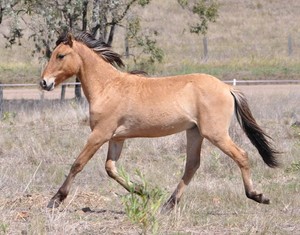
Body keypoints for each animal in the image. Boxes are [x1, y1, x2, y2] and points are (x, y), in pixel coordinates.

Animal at [39, 31, 278, 209]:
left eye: (60, 55)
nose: (44, 83)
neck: (108, 87)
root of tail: (227, 88)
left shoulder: (100, 134)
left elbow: (78, 164)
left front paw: (55, 199)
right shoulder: (116, 138)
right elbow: (111, 168)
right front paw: (143, 191)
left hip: (215, 134)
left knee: (241, 155)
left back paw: (257, 195)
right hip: (195, 132)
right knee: (192, 165)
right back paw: (168, 204)